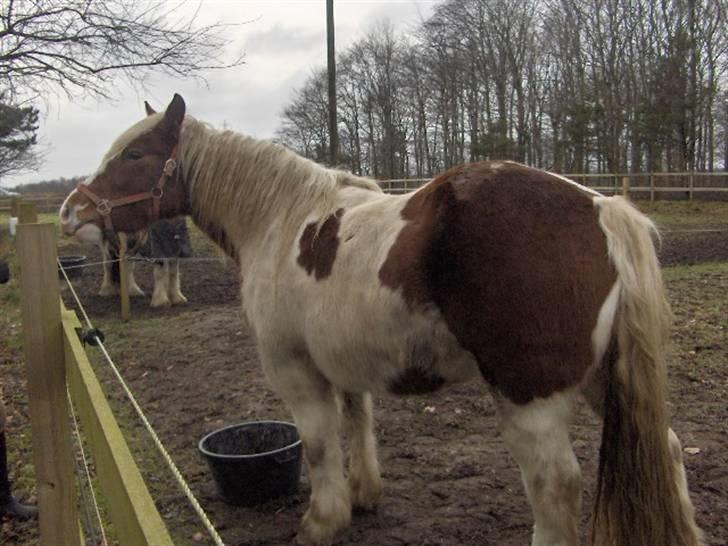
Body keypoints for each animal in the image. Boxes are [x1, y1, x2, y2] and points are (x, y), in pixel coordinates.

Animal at [58, 94, 704, 544]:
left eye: (135, 155)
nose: (71, 213)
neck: (280, 218)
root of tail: (603, 209)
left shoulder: (296, 372)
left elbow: (320, 445)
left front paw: (322, 521)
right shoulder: (345, 366)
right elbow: (358, 425)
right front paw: (364, 495)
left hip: (530, 398)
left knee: (555, 486)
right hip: (602, 381)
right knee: (670, 449)